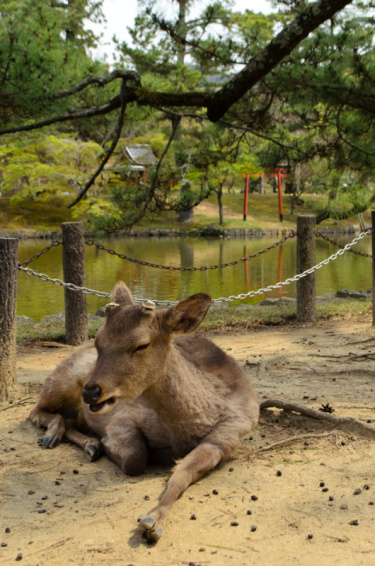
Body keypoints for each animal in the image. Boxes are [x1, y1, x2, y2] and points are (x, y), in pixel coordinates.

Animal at [29, 282, 260, 544]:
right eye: (98, 341)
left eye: (142, 344)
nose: (90, 392)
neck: (182, 432)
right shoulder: (122, 417)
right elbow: (135, 458)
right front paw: (109, 447)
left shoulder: (227, 436)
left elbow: (182, 474)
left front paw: (153, 521)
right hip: (62, 379)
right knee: (36, 410)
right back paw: (56, 437)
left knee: (68, 419)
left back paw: (91, 444)